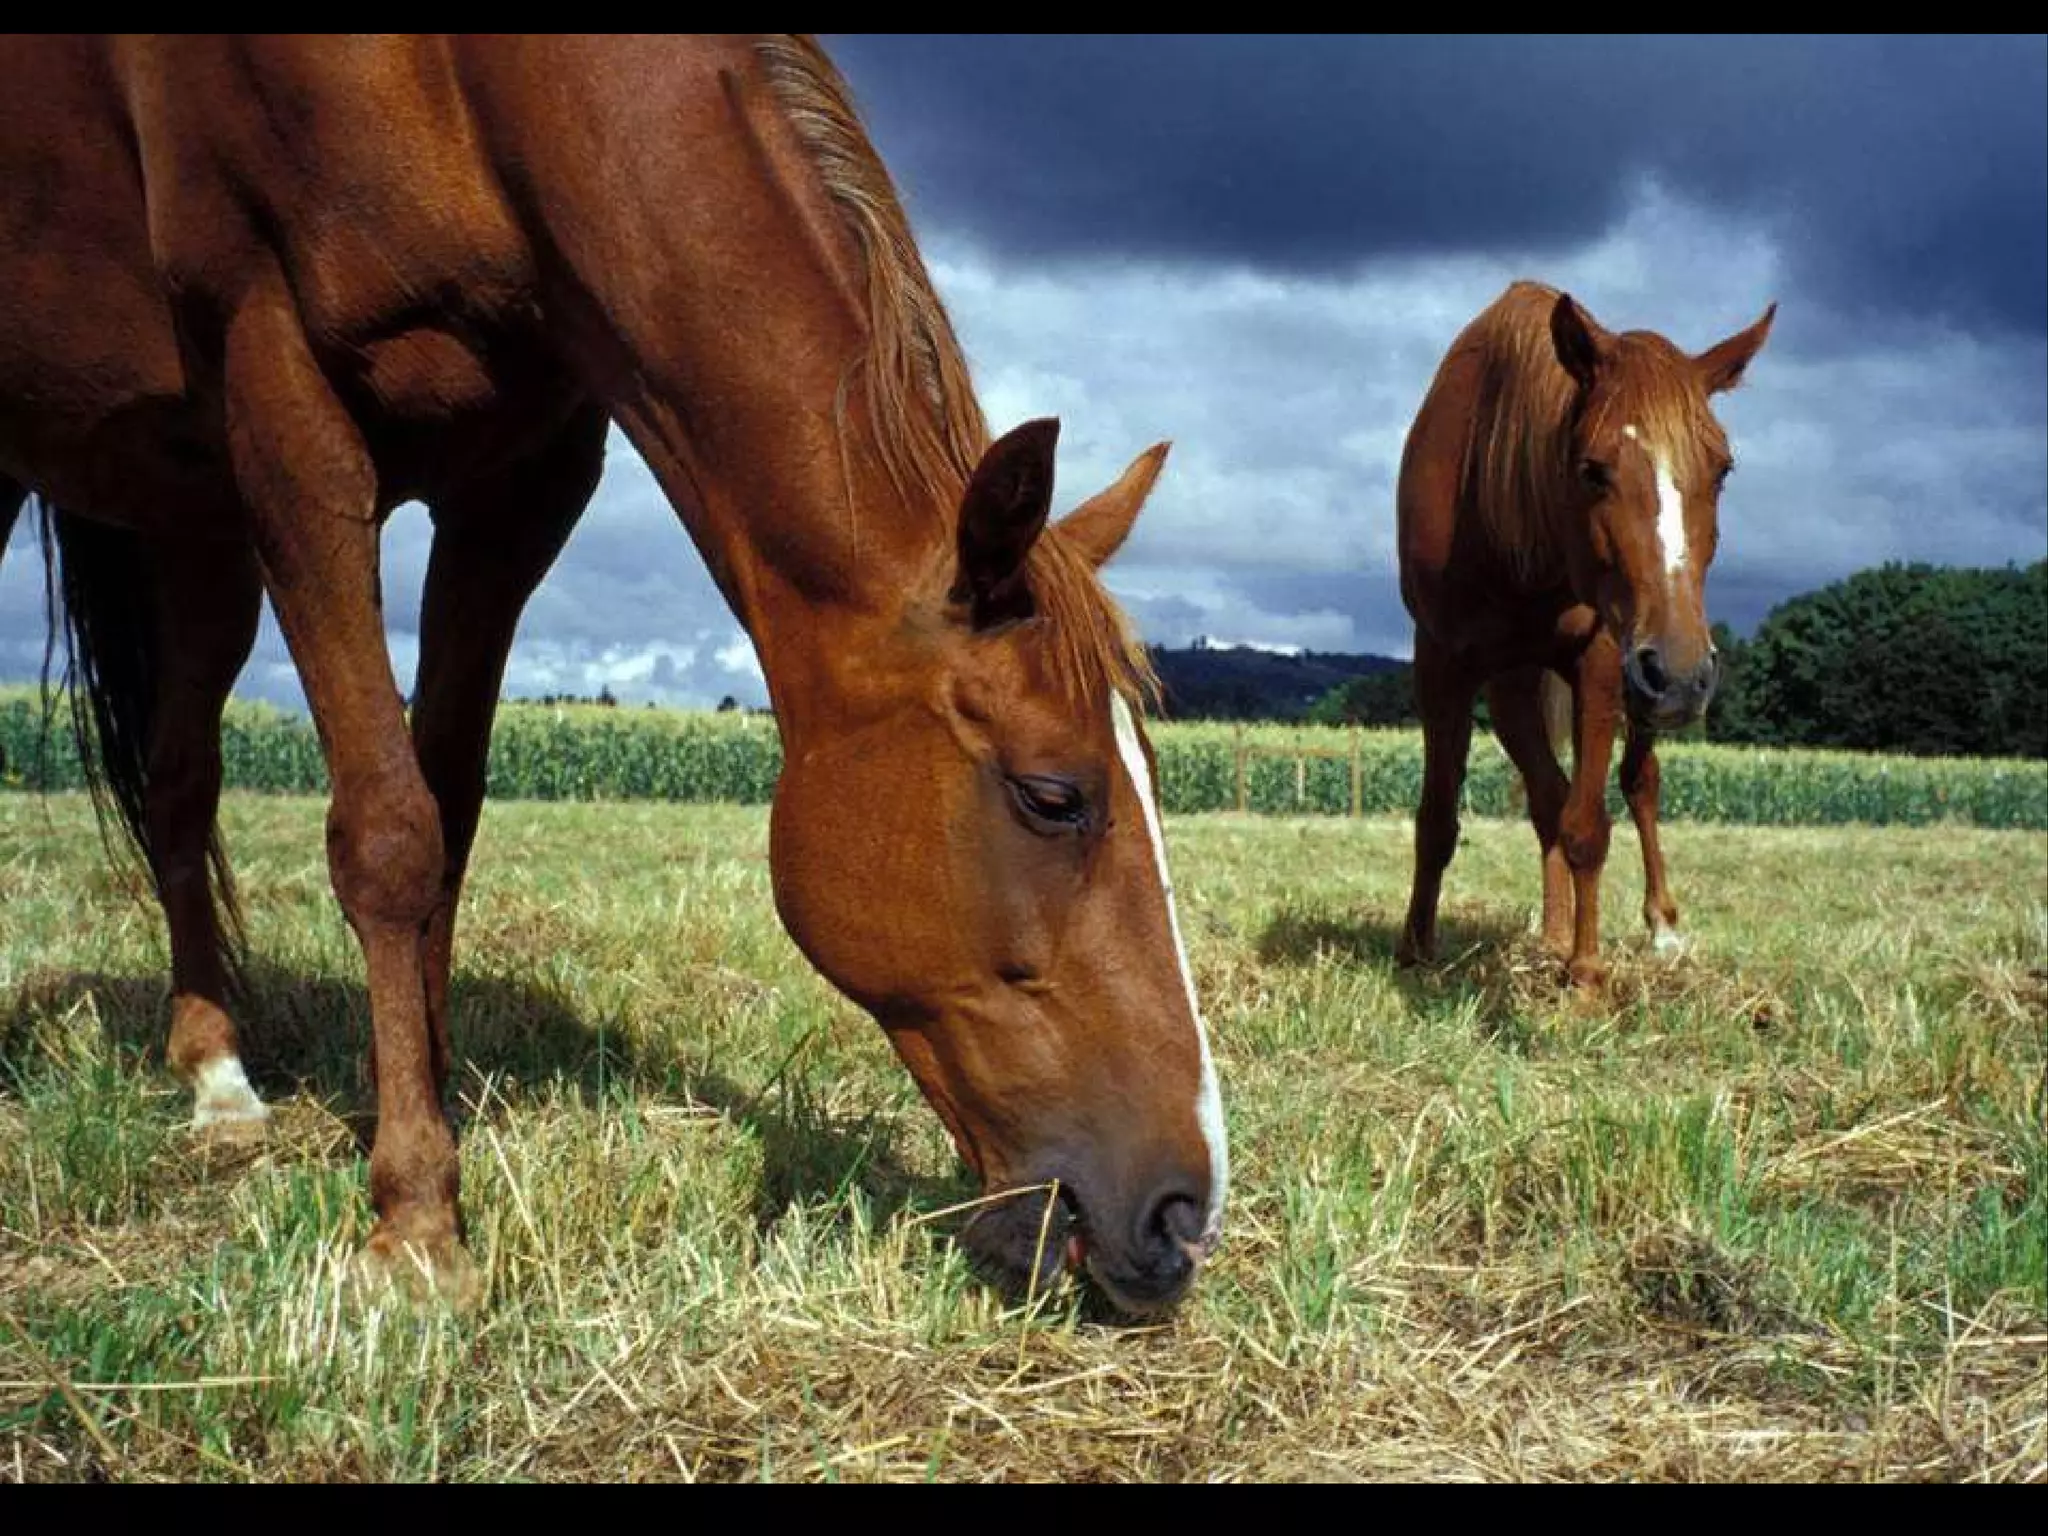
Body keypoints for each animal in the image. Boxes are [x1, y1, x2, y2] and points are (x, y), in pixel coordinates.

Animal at [0, 35, 1226, 1316]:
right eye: (1052, 796)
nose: (1183, 1216)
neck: (469, 90)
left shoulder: (519, 485)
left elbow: (447, 816)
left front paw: (429, 1097)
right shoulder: (287, 412)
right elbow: (388, 834)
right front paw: (415, 1221)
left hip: (195, 531)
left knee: (178, 782)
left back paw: (215, 1072)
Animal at [1394, 280, 1774, 986]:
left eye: (1723, 469)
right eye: (1593, 469)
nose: (1682, 675)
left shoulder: (1601, 658)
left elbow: (1589, 824)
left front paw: (1588, 975)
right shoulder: (1440, 658)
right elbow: (1439, 817)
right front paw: (1415, 951)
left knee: (1638, 784)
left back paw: (1660, 927)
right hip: (1528, 684)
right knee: (1549, 796)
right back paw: (1552, 932)